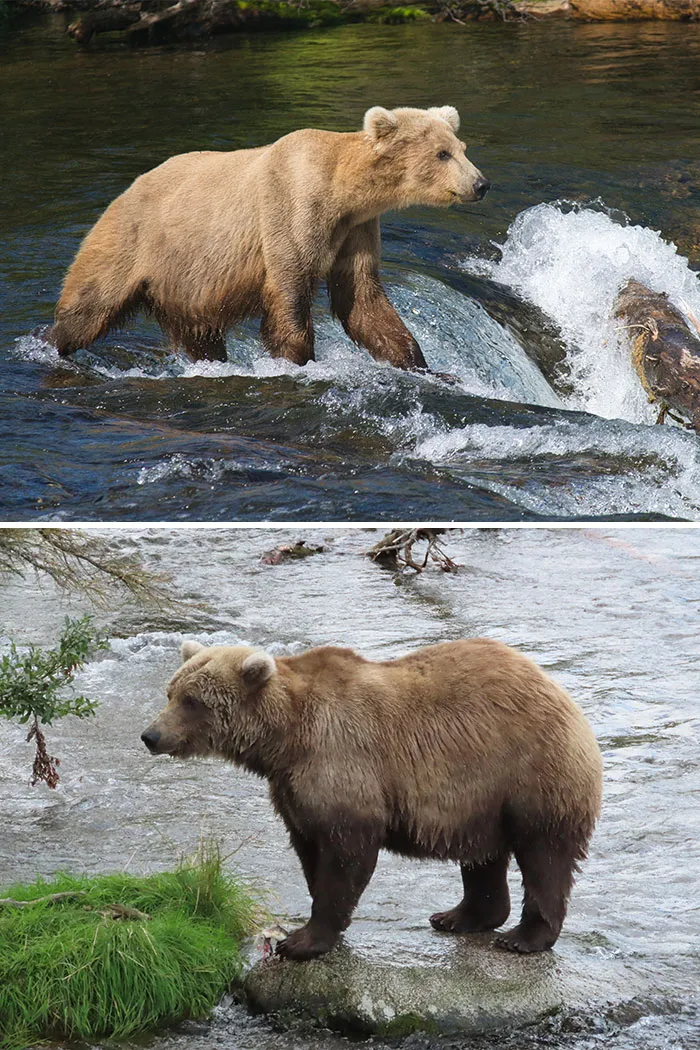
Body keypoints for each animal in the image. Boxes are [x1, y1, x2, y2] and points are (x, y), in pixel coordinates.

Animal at [51, 106, 489, 370]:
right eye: (442, 154)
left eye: (461, 147)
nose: (481, 184)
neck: (345, 191)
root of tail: (126, 189)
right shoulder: (292, 209)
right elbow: (290, 291)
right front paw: (297, 361)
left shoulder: (356, 229)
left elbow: (361, 297)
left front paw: (420, 364)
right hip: (134, 241)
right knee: (89, 304)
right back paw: (54, 345)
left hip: (187, 285)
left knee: (200, 335)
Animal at [141, 638, 602, 961]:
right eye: (171, 691)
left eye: (192, 700)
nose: (151, 735)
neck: (284, 740)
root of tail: (557, 689)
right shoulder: (292, 788)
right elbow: (308, 847)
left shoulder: (342, 761)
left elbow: (346, 853)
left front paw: (303, 941)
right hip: (481, 796)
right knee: (482, 855)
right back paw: (458, 916)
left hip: (530, 771)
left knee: (544, 854)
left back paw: (523, 938)